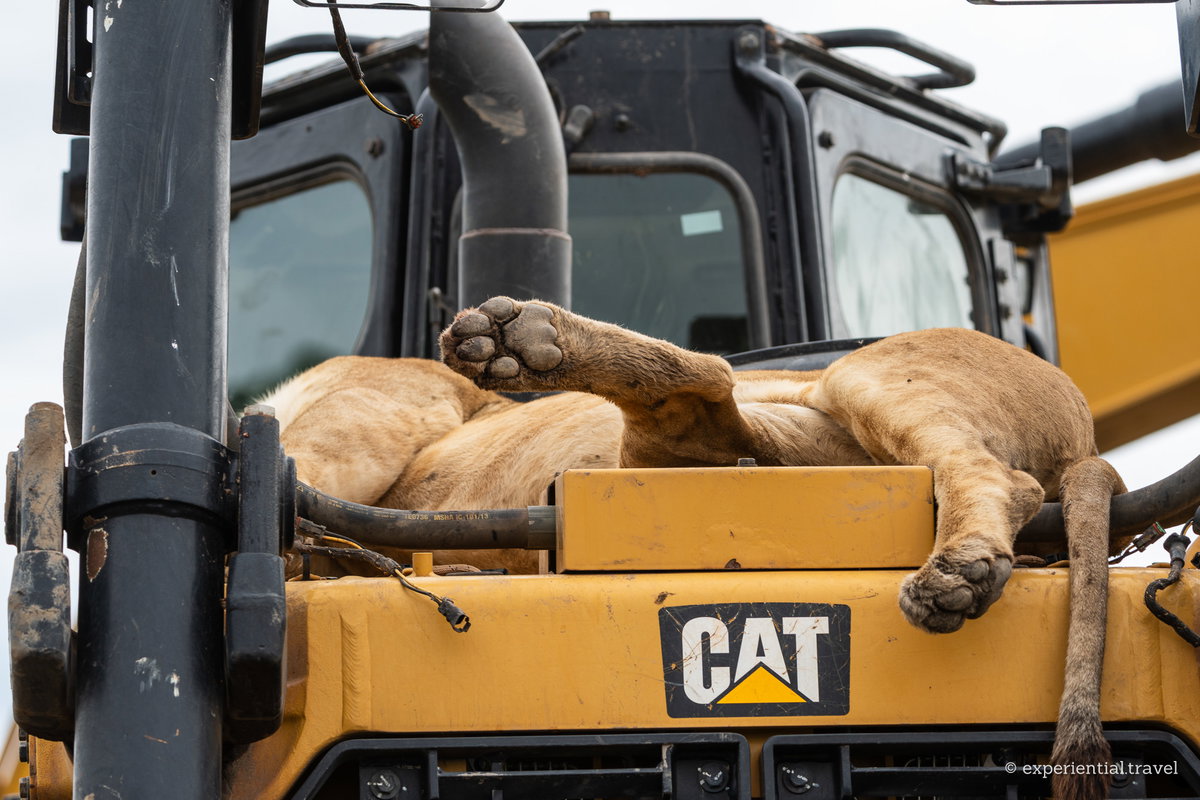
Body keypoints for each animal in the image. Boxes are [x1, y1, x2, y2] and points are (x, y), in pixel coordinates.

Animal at [265, 296, 1123, 800]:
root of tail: (1084, 440)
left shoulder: (365, 409)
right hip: (769, 439)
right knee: (703, 404)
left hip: (871, 378)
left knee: (988, 472)